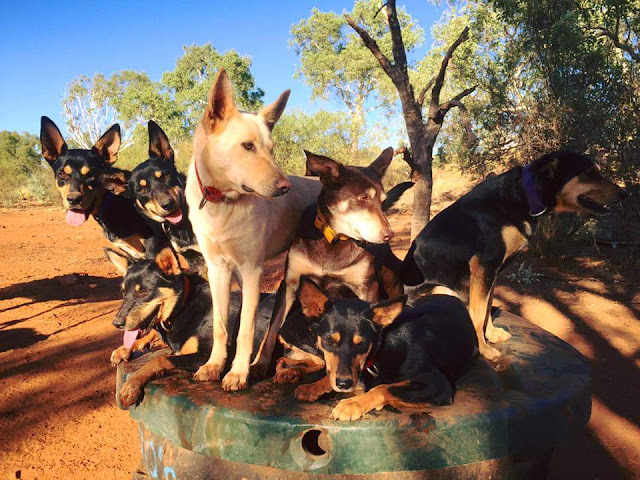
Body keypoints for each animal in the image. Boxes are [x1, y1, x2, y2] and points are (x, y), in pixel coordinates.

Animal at [105, 246, 278, 407]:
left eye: (143, 292)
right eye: (123, 292)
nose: (117, 323)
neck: (184, 305)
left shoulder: (205, 356)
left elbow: (159, 359)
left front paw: (131, 385)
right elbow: (152, 335)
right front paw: (123, 349)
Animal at [184, 69, 322, 391]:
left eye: (271, 150)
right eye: (248, 146)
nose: (285, 187)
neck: (222, 203)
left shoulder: (251, 271)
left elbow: (245, 329)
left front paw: (237, 373)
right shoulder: (217, 270)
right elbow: (221, 326)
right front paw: (214, 365)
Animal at [253, 149, 412, 373]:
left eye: (382, 202)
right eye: (363, 197)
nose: (388, 235)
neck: (334, 238)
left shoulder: (367, 286)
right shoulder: (289, 284)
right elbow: (272, 328)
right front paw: (260, 363)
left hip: (392, 284)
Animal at [275, 278, 477, 421]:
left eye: (361, 343)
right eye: (328, 340)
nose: (344, 384)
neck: (380, 348)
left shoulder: (438, 384)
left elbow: (383, 387)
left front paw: (352, 404)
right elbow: (331, 374)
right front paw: (312, 387)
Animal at [402, 150, 629, 360]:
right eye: (589, 172)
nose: (625, 193)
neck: (523, 195)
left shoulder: (491, 273)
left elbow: (486, 309)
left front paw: (492, 335)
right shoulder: (484, 266)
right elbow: (477, 314)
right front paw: (484, 349)